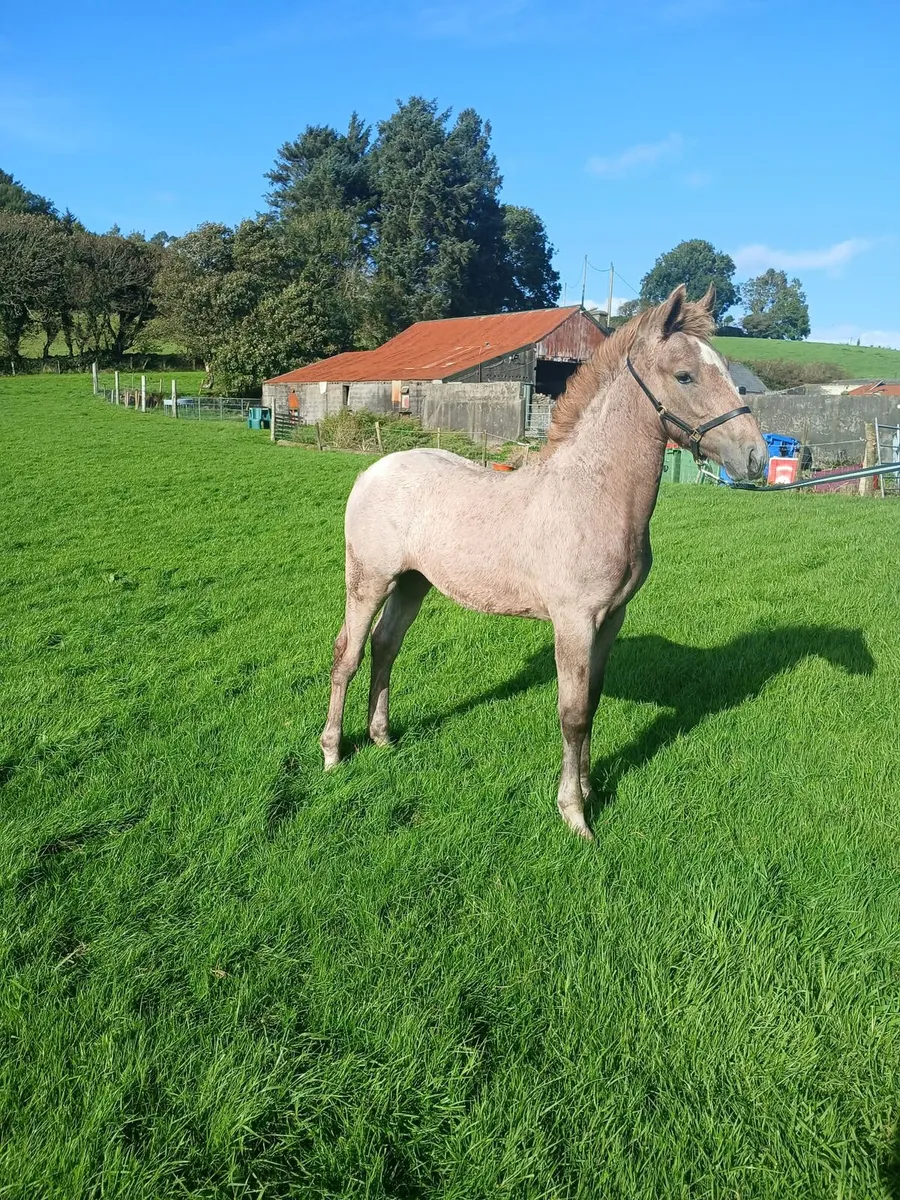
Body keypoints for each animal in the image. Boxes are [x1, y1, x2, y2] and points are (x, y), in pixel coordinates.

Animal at [320, 285, 768, 839]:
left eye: (725, 368)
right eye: (685, 375)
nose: (756, 458)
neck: (592, 494)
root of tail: (372, 470)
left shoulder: (611, 619)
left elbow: (592, 703)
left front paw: (590, 788)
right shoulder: (573, 621)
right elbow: (571, 713)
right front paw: (574, 813)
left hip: (412, 583)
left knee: (386, 648)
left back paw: (381, 736)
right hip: (369, 580)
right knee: (349, 653)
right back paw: (333, 752)